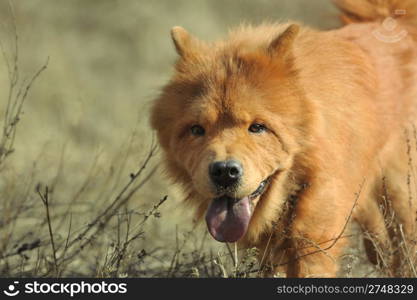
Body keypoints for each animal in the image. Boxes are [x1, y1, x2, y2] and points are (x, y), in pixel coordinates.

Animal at [150, 0, 416, 276]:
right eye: (197, 130)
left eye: (257, 127)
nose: (224, 172)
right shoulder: (269, 251)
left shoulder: (314, 243)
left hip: (401, 194)